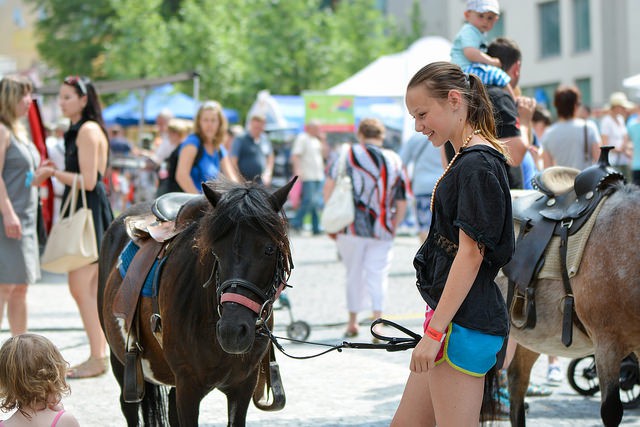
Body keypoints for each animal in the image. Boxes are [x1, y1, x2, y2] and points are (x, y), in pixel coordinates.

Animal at [97, 179, 296, 426]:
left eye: (269, 249)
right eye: (215, 251)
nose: (232, 331)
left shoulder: (242, 386)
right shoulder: (188, 387)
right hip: (121, 363)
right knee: (130, 408)